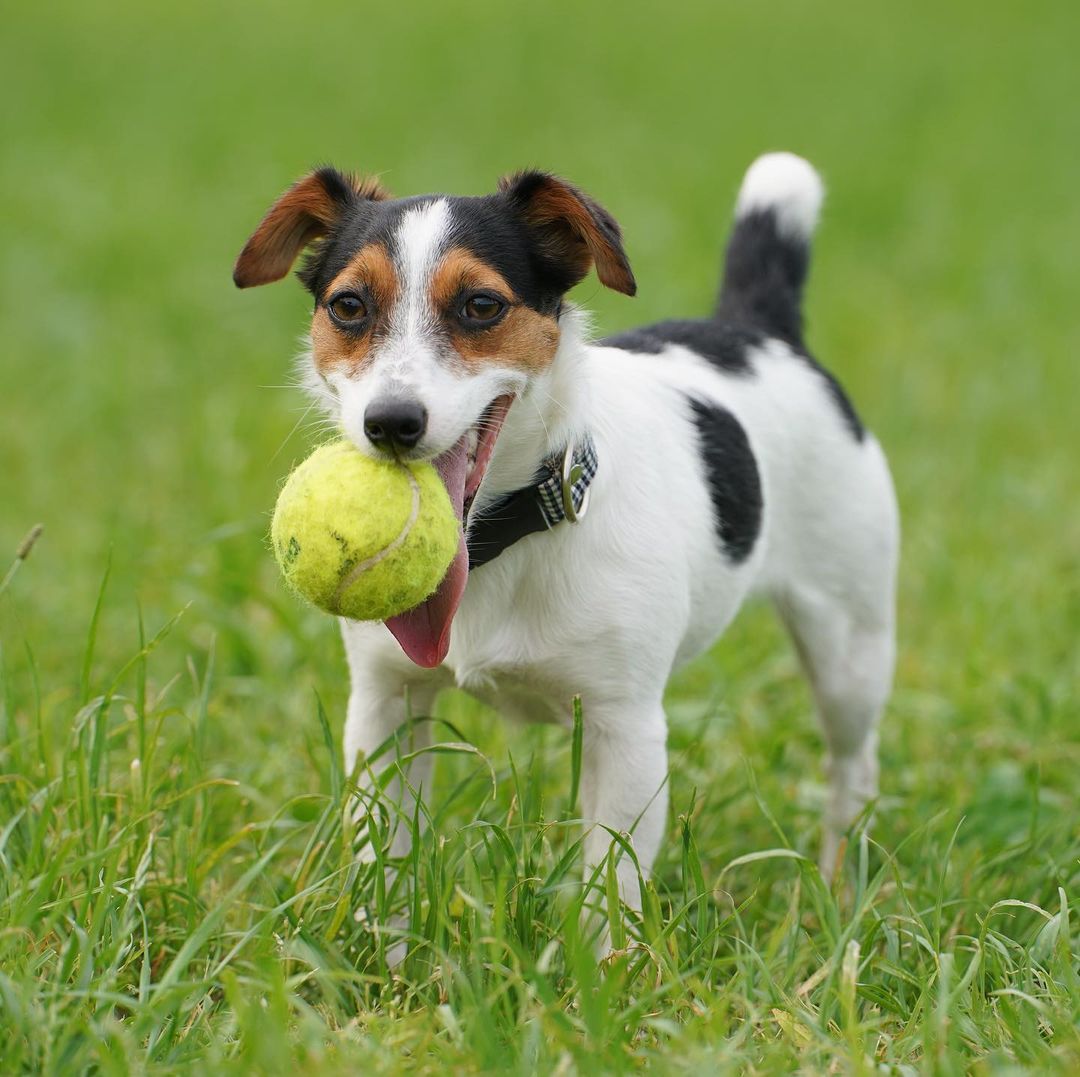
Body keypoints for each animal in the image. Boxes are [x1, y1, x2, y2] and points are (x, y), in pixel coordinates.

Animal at [238, 151, 902, 916]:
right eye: (348, 306)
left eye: (482, 305)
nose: (391, 422)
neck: (499, 538)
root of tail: (760, 332)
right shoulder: (385, 709)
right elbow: (387, 867)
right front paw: (380, 945)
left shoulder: (627, 731)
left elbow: (610, 892)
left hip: (850, 649)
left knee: (854, 764)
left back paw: (841, 889)